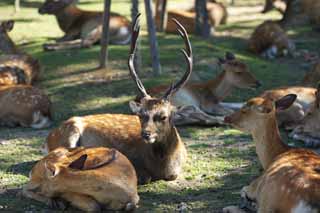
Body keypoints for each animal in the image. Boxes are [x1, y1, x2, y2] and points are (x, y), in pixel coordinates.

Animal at [43, 15, 191, 185]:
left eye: (164, 116)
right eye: (141, 115)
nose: (146, 134)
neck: (163, 167)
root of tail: (48, 138)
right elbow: (144, 176)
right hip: (68, 135)